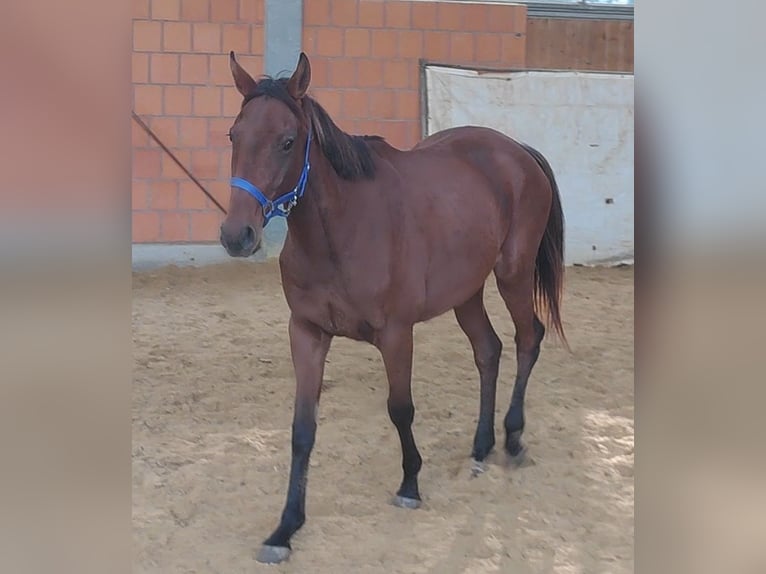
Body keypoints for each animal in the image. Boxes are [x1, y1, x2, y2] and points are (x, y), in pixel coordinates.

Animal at [219, 51, 567, 564]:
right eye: (234, 135)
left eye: (287, 141)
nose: (236, 236)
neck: (342, 232)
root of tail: (517, 150)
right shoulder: (306, 333)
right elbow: (302, 429)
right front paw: (285, 528)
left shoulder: (397, 334)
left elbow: (400, 409)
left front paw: (410, 484)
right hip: (466, 293)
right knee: (489, 351)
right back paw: (480, 449)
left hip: (513, 275)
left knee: (529, 338)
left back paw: (513, 438)